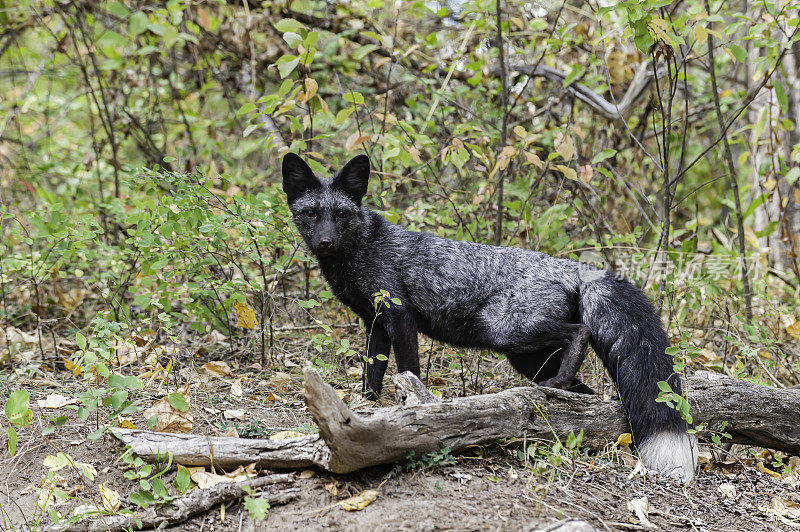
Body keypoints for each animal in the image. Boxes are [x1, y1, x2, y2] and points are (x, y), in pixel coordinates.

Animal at [284, 151, 696, 482]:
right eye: (311, 214)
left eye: (340, 214)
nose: (324, 242)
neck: (364, 249)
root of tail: (575, 268)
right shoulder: (375, 324)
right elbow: (372, 376)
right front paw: (366, 410)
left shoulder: (400, 317)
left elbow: (409, 372)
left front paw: (414, 412)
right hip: (527, 358)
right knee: (587, 399)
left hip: (506, 333)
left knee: (578, 332)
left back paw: (560, 383)